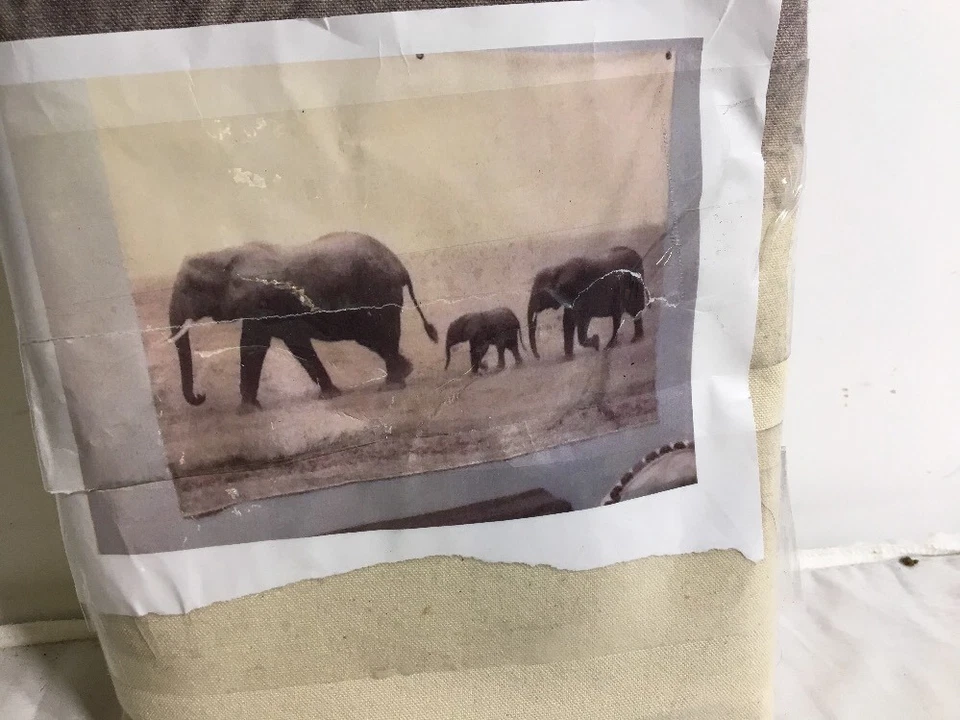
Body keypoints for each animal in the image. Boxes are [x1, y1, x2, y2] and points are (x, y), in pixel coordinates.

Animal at [168, 231, 439, 411]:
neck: (223, 255)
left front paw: (247, 411)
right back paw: (403, 372)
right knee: (375, 339)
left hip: (378, 292)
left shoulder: (261, 302)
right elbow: (271, 345)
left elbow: (262, 347)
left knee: (378, 335)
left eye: (189, 289)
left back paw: (391, 386)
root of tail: (400, 265)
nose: (201, 395)